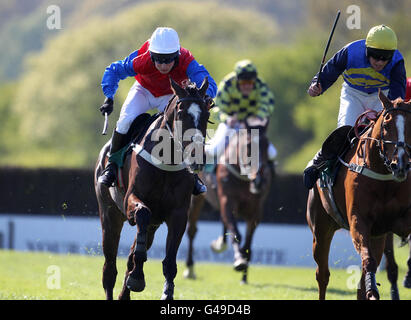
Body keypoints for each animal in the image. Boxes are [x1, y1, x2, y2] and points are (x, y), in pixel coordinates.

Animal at [95, 78, 211, 300]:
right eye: (181, 113)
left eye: (207, 114)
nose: (196, 157)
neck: (166, 161)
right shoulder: (132, 200)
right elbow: (142, 214)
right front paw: (137, 278)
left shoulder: (178, 213)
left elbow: (169, 260)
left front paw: (167, 292)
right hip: (109, 214)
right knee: (109, 267)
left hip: (153, 225)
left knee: (128, 258)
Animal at [185, 116, 272, 284]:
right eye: (248, 146)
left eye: (266, 146)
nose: (259, 181)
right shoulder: (227, 200)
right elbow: (236, 232)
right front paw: (239, 261)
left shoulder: (256, 210)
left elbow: (248, 242)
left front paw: (244, 275)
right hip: (196, 199)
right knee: (192, 230)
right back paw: (190, 269)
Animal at [308, 90, 411, 300]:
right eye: (386, 125)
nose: (400, 165)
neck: (384, 177)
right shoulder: (358, 221)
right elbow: (368, 261)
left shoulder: (391, 225)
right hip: (321, 229)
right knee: (323, 274)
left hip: (376, 237)